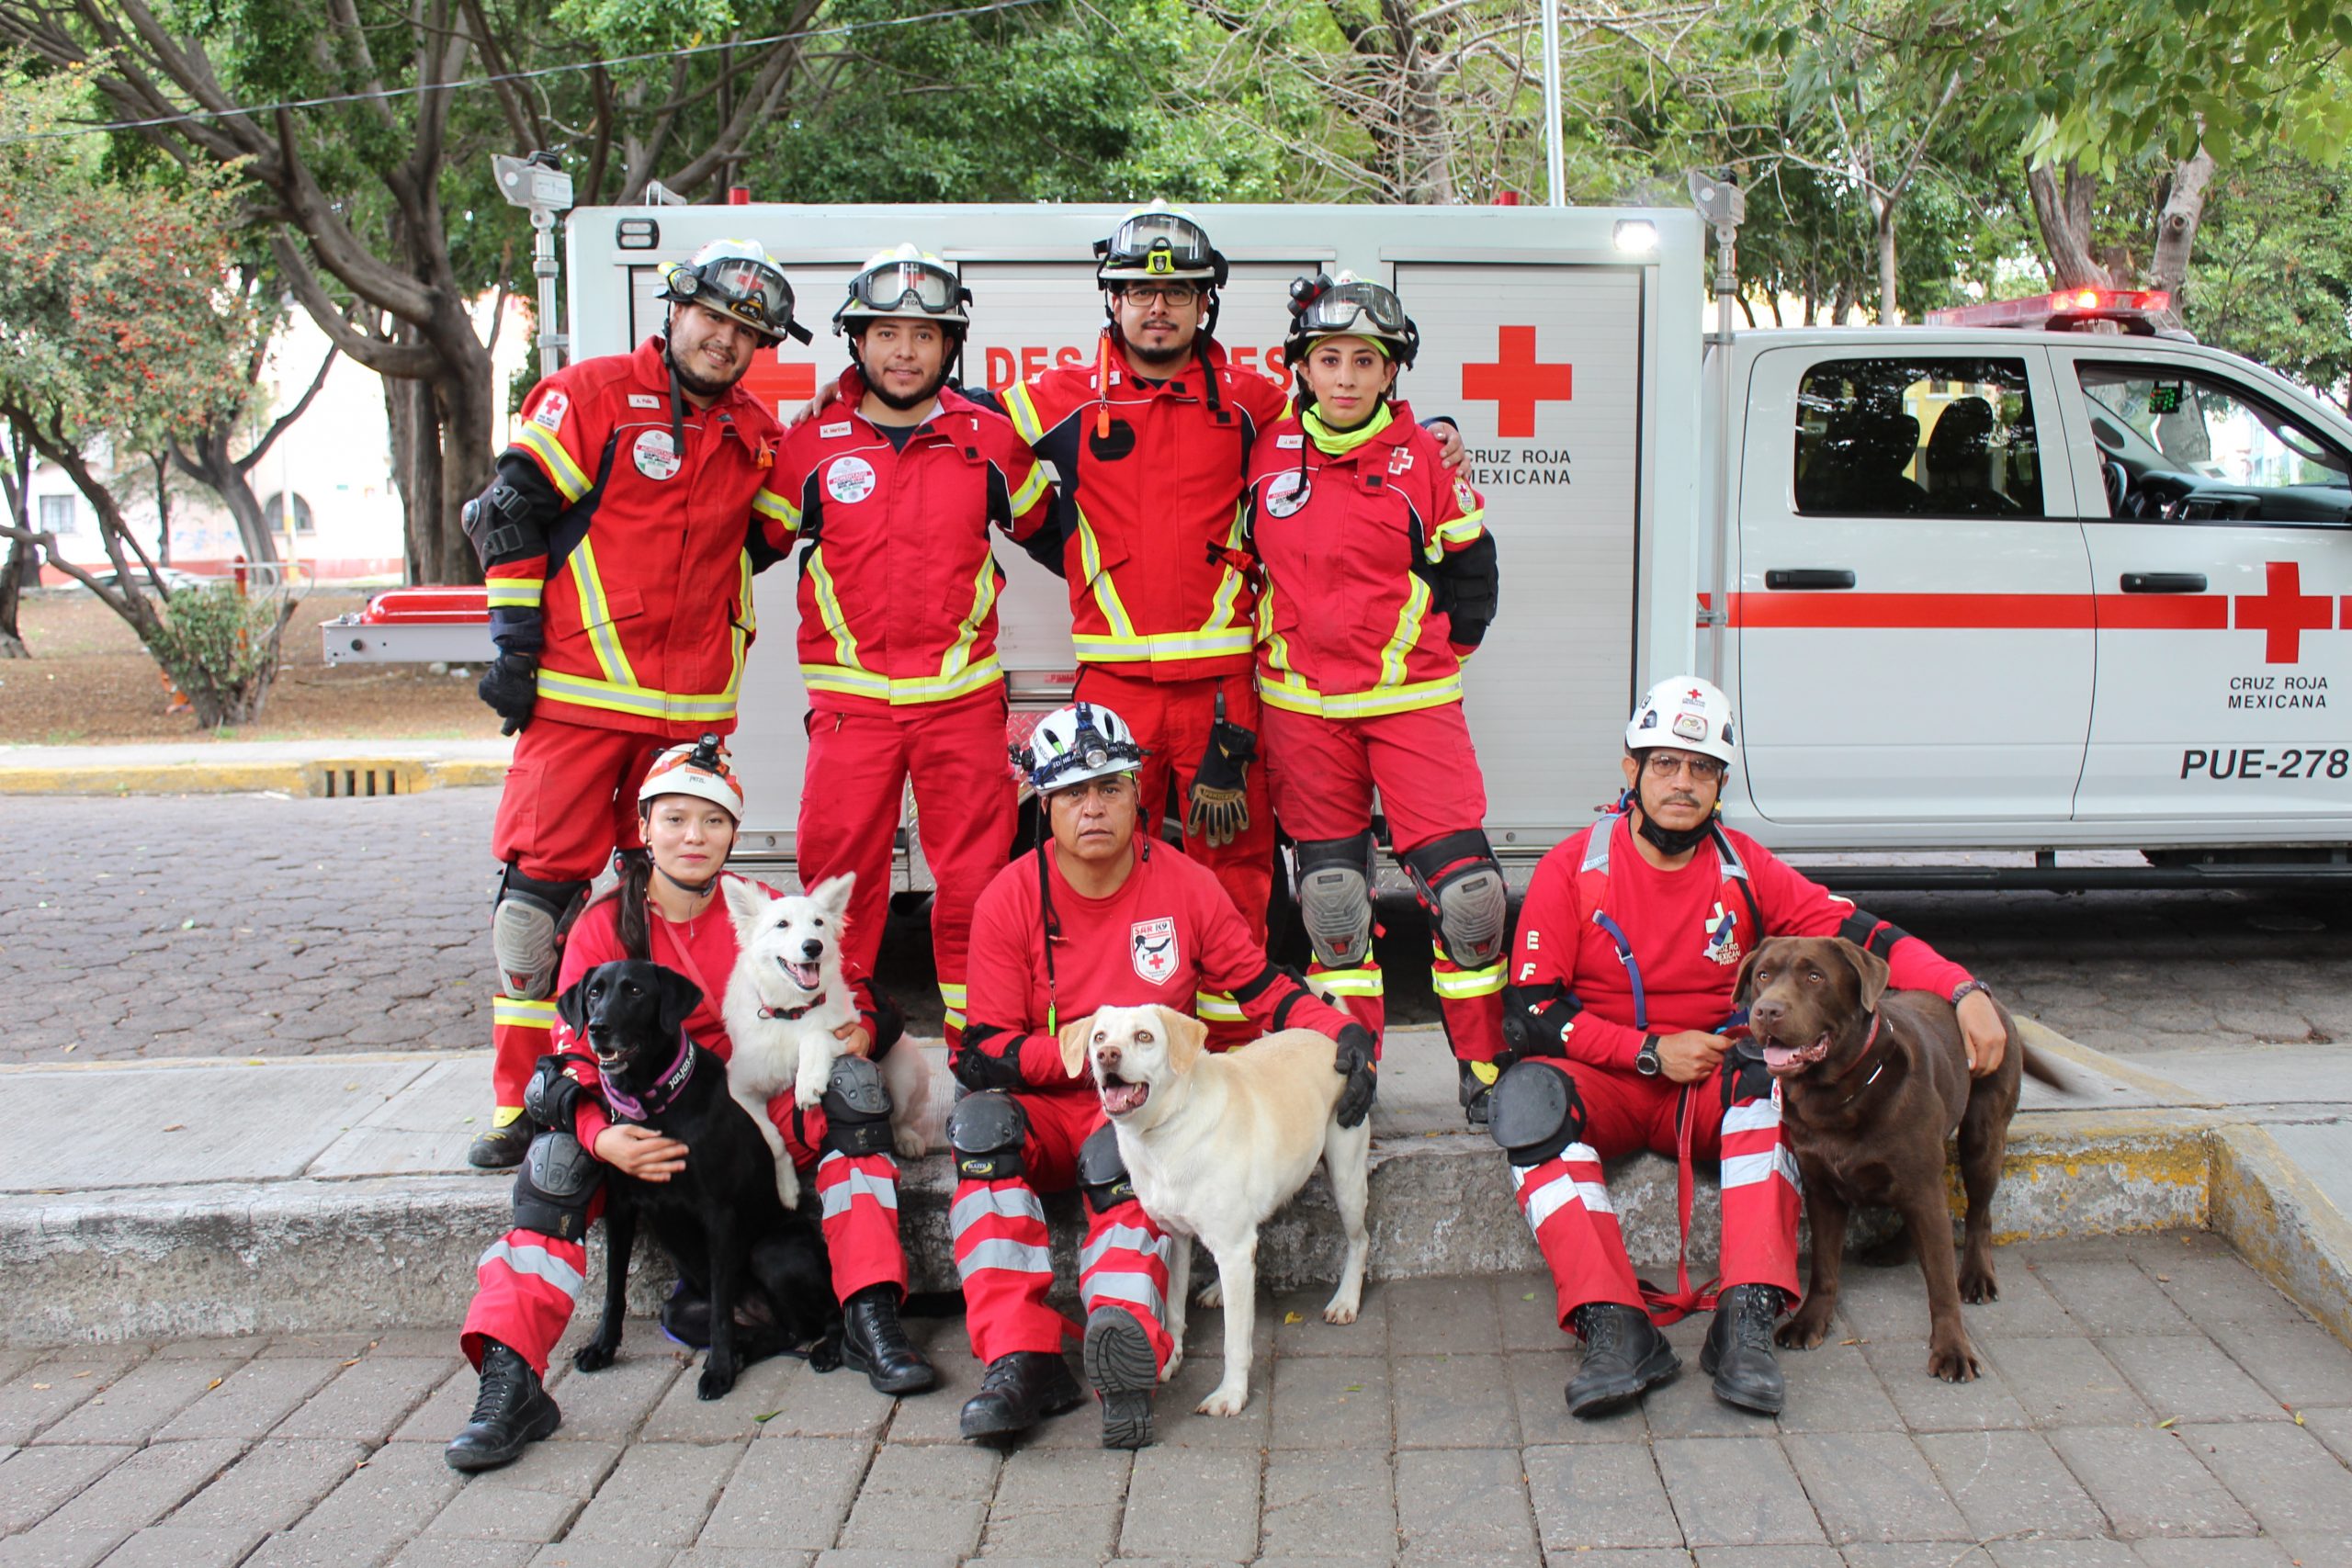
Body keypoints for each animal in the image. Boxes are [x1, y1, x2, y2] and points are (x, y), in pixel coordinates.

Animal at [552, 964, 842, 1401]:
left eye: (635, 992)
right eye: (593, 994)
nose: (599, 1027)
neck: (651, 1107)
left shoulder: (718, 1215)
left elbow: (721, 1307)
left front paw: (718, 1370)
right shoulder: (620, 1210)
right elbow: (613, 1290)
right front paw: (602, 1346)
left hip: (772, 1252)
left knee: (822, 1316)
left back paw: (821, 1349)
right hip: (679, 1310)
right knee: (777, 1333)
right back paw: (744, 1350)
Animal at [719, 879, 931, 1213]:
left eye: (818, 922)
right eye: (782, 924)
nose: (813, 946)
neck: (791, 1012)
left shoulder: (851, 1029)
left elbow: (815, 1035)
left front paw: (808, 1081)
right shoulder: (739, 1090)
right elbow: (772, 1138)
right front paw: (786, 1187)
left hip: (904, 1071)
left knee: (900, 1116)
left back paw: (907, 1138)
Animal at [1063, 1006, 1374, 1419]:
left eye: (1144, 1037)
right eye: (1099, 1037)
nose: (1106, 1056)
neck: (1165, 1133)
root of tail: (1326, 1038)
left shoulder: (1234, 1246)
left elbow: (1235, 1341)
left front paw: (1231, 1394)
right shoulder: (1177, 1238)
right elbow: (1173, 1308)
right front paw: (1169, 1359)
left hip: (1346, 1179)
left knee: (1360, 1240)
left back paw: (1345, 1301)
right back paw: (1217, 1290)